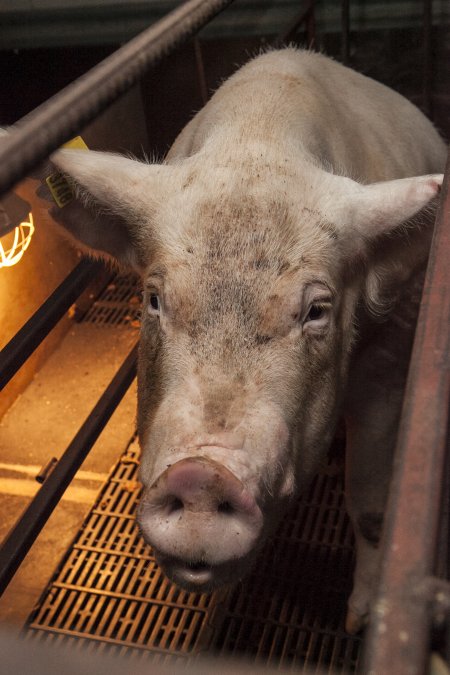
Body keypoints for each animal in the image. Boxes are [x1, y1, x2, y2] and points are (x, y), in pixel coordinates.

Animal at [45, 48, 446, 632]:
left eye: (317, 311)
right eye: (154, 299)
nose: (202, 475)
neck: (260, 139)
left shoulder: (393, 352)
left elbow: (373, 505)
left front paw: (360, 623)